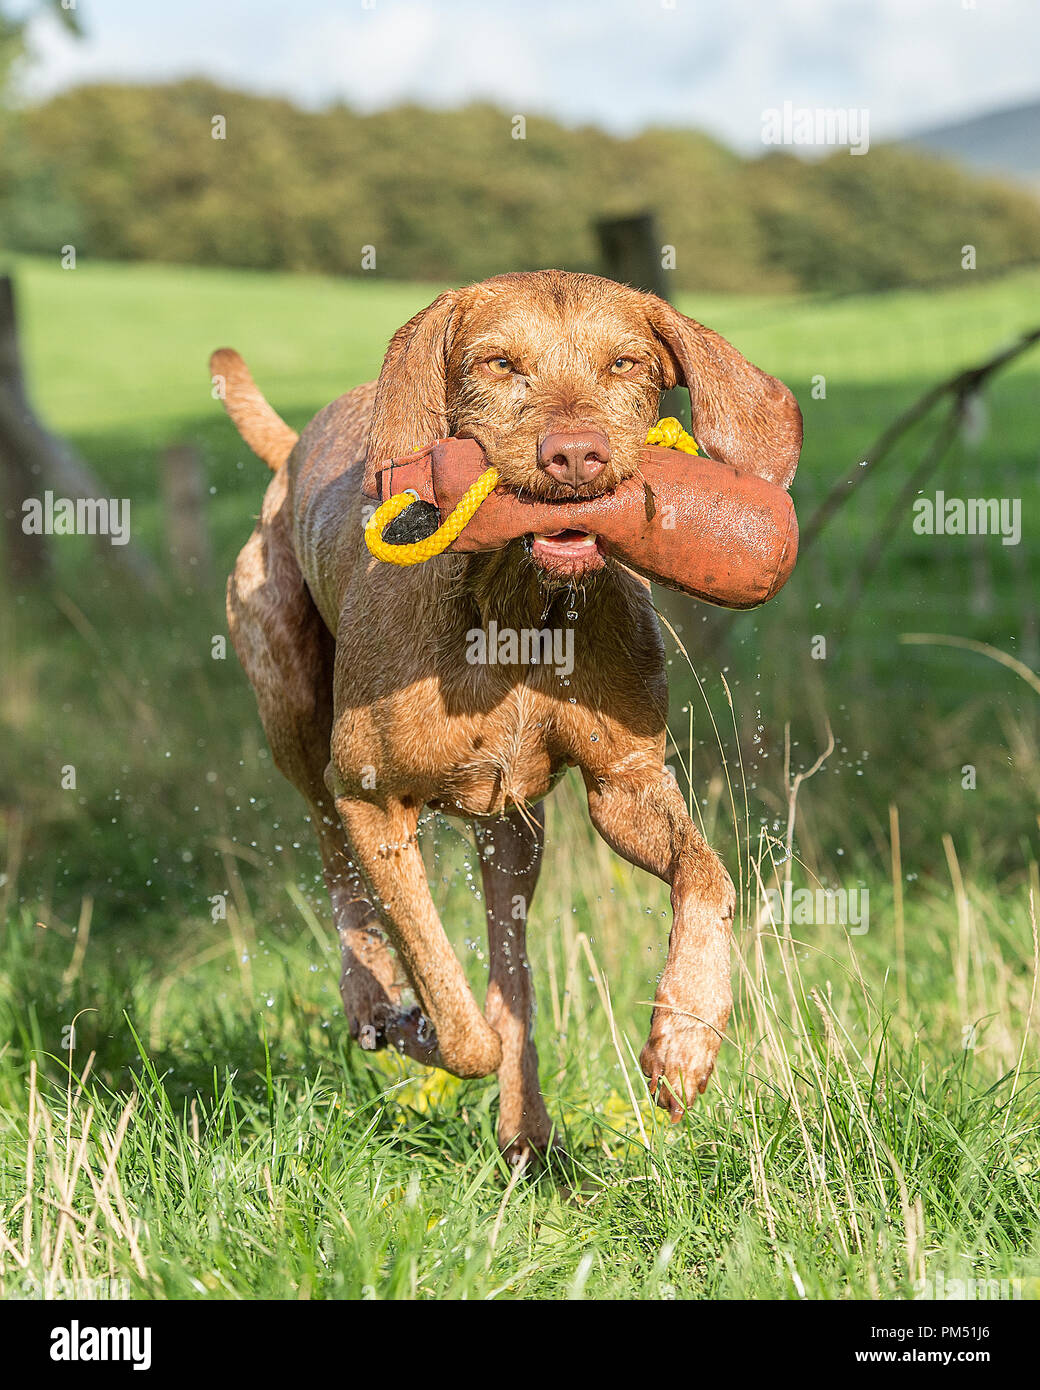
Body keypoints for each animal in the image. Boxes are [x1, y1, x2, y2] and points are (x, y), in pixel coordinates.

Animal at [216, 268, 806, 1162]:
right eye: (498, 363)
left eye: (626, 362)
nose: (576, 452)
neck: (515, 606)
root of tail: (290, 452)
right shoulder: (370, 797)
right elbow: (454, 1015)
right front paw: (414, 1023)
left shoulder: (625, 784)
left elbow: (708, 875)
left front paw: (686, 1035)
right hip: (293, 710)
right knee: (336, 863)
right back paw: (374, 1003)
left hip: (514, 833)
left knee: (513, 971)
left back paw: (526, 1130)